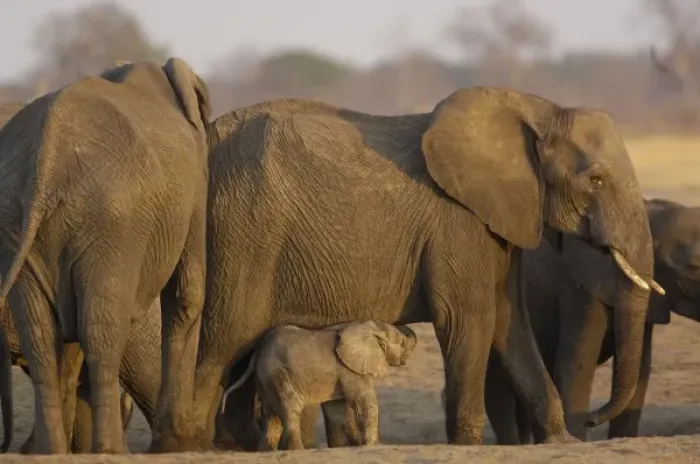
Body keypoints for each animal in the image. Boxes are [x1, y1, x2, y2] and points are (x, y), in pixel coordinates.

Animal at [0, 58, 210, 454]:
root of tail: (47, 156)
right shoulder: (195, 184)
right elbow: (188, 293)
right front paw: (176, 444)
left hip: (21, 223)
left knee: (43, 336)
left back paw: (51, 451)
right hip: (112, 225)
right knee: (101, 332)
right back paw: (112, 450)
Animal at [220, 321, 417, 450]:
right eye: (402, 343)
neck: (367, 327)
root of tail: (258, 352)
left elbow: (337, 409)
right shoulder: (348, 369)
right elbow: (365, 402)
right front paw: (371, 446)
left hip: (265, 378)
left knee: (271, 417)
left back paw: (267, 452)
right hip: (278, 373)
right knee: (291, 408)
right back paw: (297, 451)